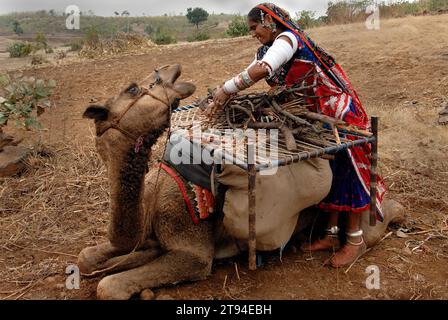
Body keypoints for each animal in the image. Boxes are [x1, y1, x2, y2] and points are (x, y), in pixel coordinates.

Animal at [79, 65, 404, 300]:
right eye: (132, 88)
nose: (172, 70)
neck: (151, 201)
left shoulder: (193, 252)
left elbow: (109, 287)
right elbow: (86, 258)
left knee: (376, 222)